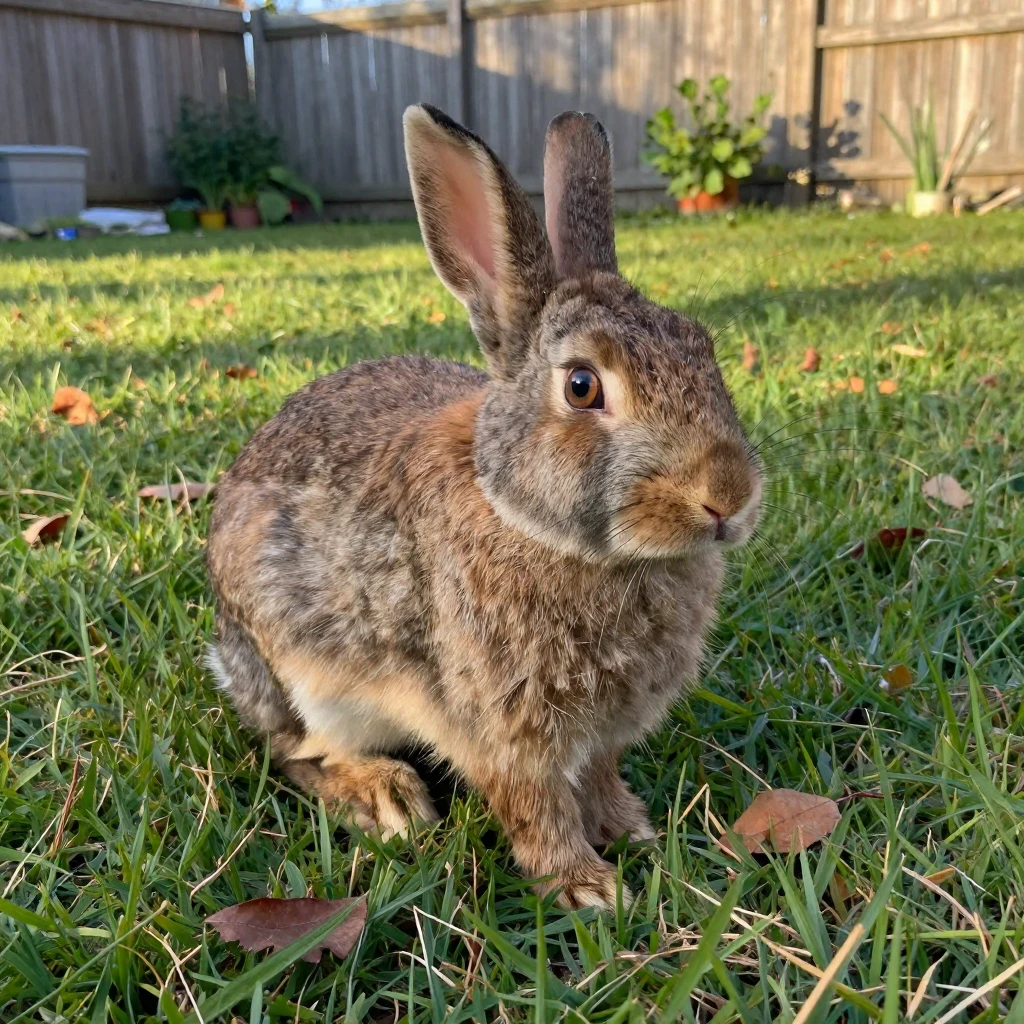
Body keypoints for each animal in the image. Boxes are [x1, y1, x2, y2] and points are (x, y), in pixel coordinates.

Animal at [205, 103, 763, 910]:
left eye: (703, 348)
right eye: (583, 386)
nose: (727, 498)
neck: (532, 524)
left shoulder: (604, 730)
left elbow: (597, 776)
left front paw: (631, 829)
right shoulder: (501, 726)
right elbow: (534, 805)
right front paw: (588, 887)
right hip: (301, 676)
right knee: (295, 753)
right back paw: (385, 797)